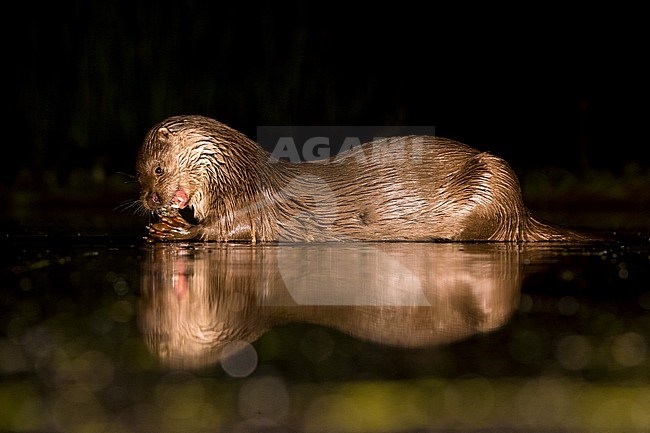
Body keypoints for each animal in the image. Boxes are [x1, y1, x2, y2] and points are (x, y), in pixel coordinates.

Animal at [135, 115, 588, 241]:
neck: (236, 174)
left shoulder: (247, 205)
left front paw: (174, 229)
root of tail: (522, 211)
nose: (151, 200)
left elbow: (227, 230)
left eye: (157, 170)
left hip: (490, 181)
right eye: (140, 179)